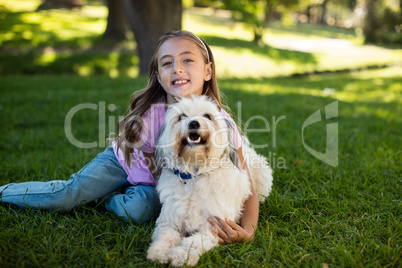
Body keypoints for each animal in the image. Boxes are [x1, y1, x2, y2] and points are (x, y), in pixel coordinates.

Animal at [148, 96, 274, 266]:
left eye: (207, 116)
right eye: (181, 116)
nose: (193, 123)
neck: (196, 174)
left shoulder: (214, 227)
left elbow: (192, 243)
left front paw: (181, 256)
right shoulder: (169, 220)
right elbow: (164, 236)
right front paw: (158, 252)